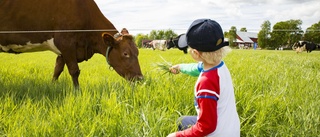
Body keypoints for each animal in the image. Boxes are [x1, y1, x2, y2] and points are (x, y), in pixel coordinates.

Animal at [0, 0, 143, 88]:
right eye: (125, 53)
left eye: (137, 52)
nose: (140, 78)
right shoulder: (66, 42)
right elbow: (74, 71)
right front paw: (77, 92)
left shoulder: (64, 50)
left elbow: (57, 69)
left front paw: (52, 85)